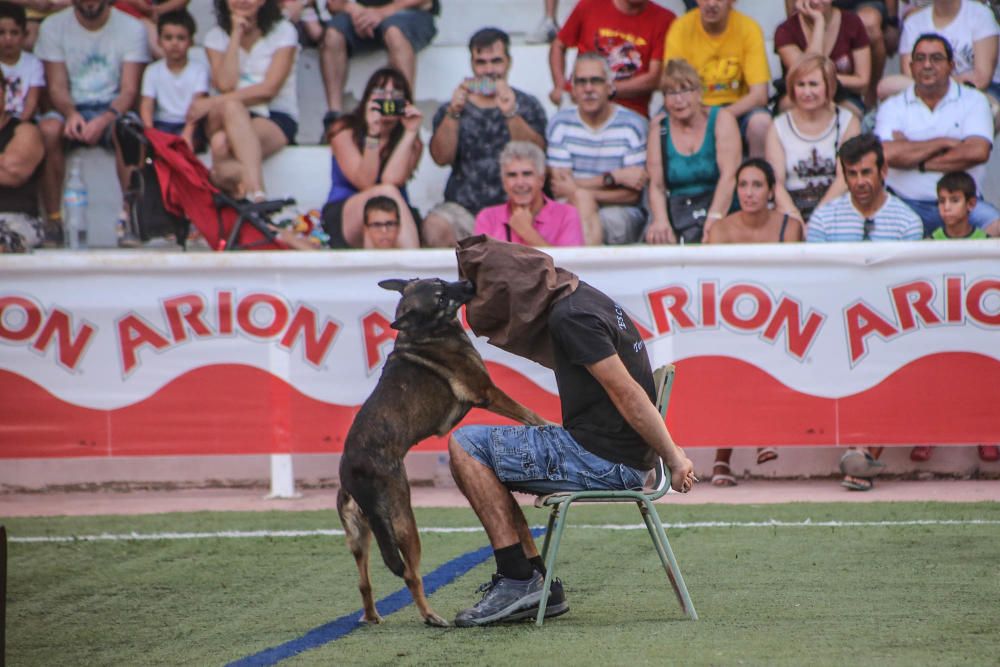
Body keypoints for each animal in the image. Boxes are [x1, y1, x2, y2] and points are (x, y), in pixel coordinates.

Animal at [342, 276, 548, 628]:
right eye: (439, 297)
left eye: (441, 280)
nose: (467, 282)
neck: (426, 333)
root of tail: (352, 473)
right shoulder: (486, 392)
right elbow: (528, 413)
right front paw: (548, 423)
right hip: (403, 522)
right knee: (410, 574)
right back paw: (431, 616)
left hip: (360, 536)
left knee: (363, 581)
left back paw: (371, 616)